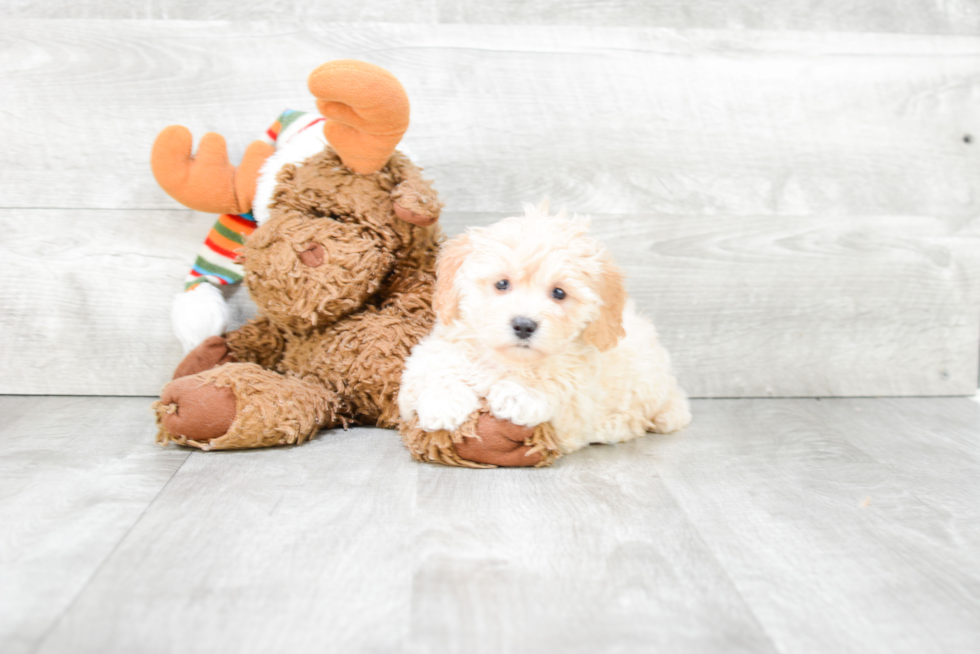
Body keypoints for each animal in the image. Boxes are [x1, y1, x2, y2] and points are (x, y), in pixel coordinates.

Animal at [396, 205, 688, 456]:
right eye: (502, 284)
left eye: (559, 293)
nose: (524, 325)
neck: (507, 360)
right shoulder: (428, 358)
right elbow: (434, 371)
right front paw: (444, 403)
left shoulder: (578, 401)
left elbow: (556, 385)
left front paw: (518, 393)